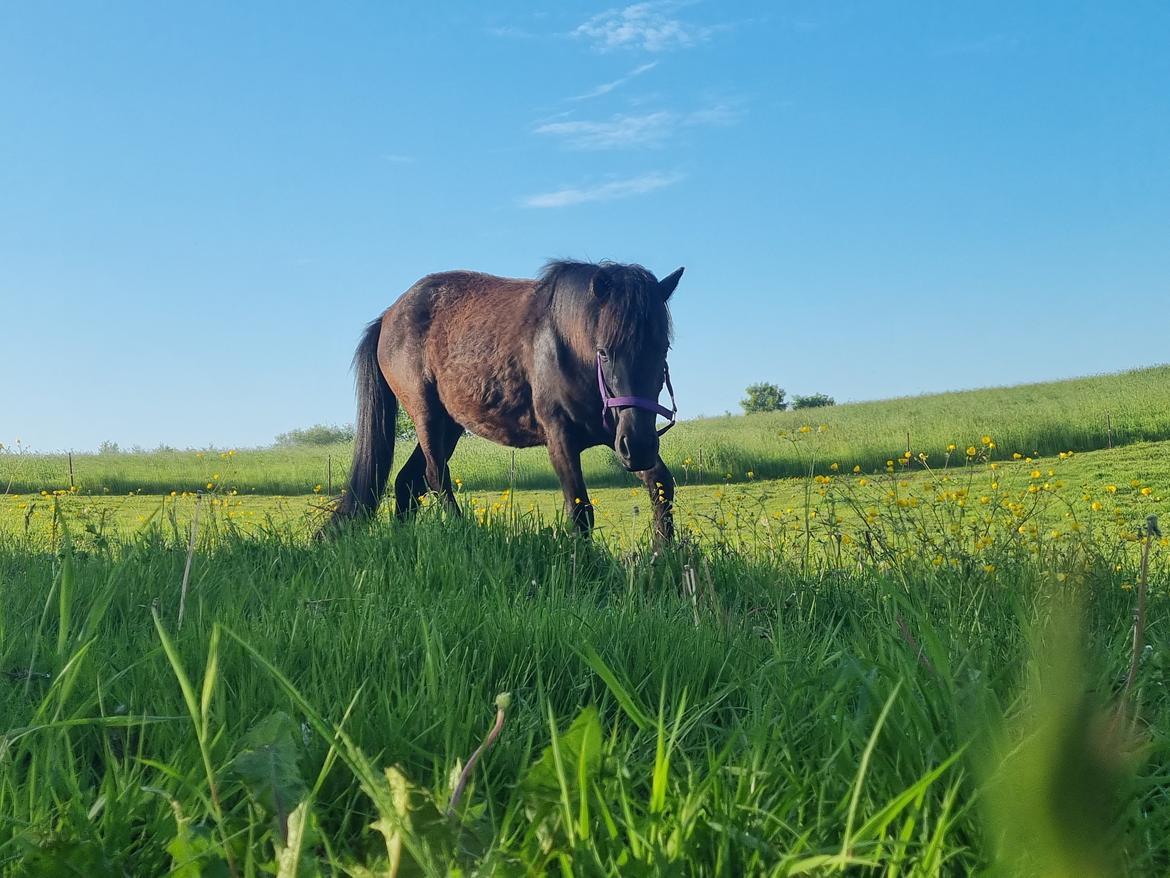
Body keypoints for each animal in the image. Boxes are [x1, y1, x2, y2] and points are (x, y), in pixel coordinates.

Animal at [327, 257, 683, 540]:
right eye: (604, 352)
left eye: (662, 348)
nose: (639, 446)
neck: (565, 348)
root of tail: (388, 316)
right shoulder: (561, 438)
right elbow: (580, 512)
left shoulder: (616, 434)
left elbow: (661, 486)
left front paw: (662, 555)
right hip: (426, 415)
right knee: (434, 476)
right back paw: (463, 533)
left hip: (449, 424)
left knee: (407, 482)